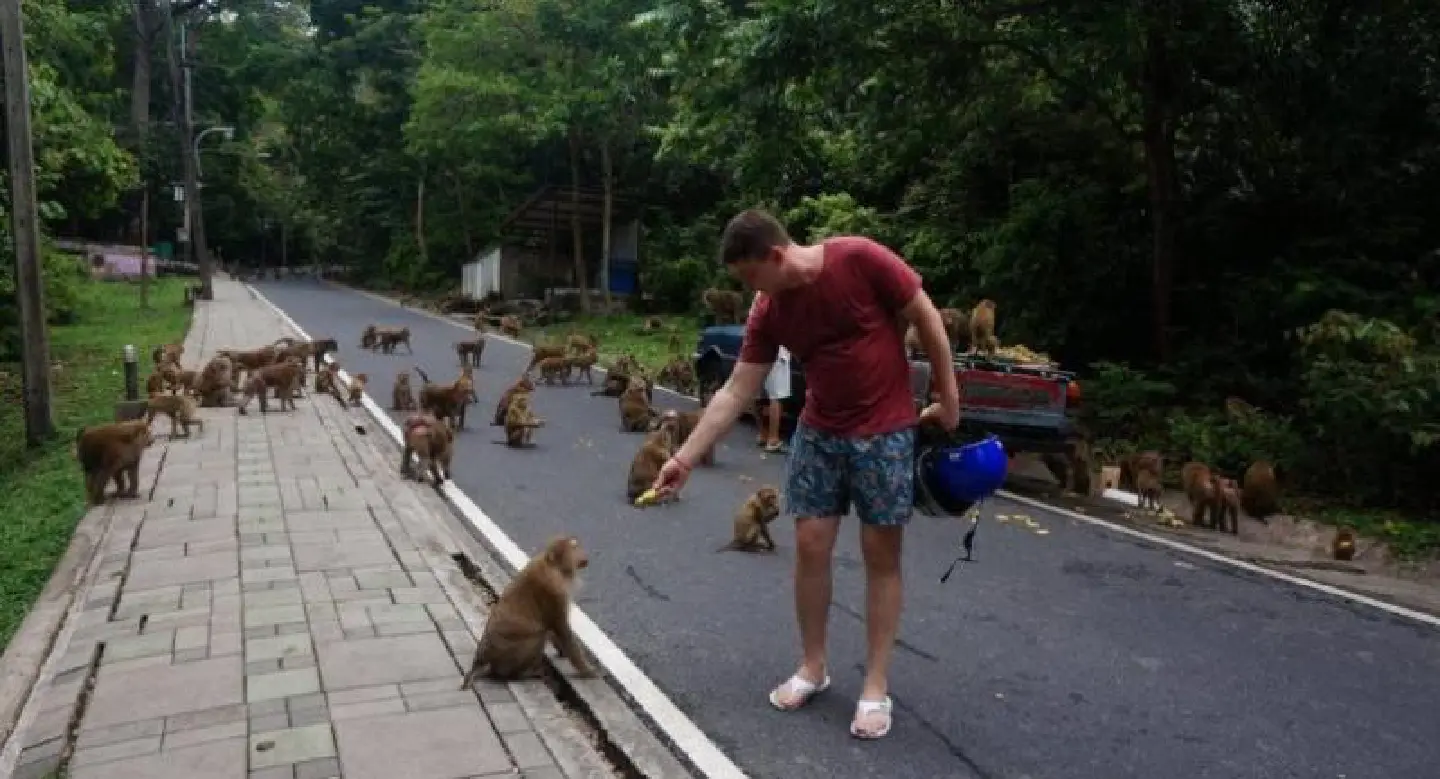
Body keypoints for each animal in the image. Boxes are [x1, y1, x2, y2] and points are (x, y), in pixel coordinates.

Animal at [460, 535, 596, 687]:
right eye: (574, 547)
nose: (584, 555)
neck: (555, 568)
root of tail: (482, 660)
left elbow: (555, 629)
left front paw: (561, 650)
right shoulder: (554, 593)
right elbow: (560, 627)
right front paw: (586, 670)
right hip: (510, 656)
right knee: (537, 635)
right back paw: (524, 674)